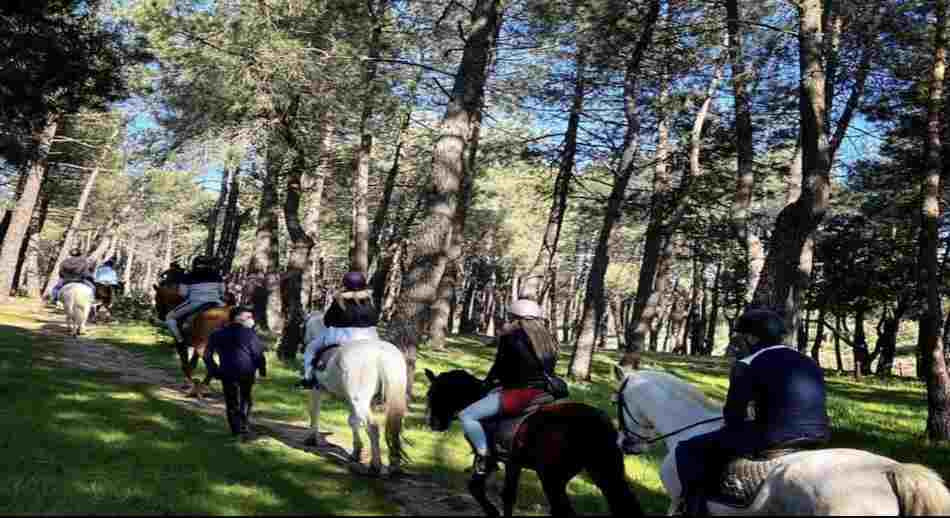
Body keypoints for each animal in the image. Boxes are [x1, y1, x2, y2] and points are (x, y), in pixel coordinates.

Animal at [304, 312, 410, 480]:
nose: (304, 342)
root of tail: (380, 354)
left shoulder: (316, 390)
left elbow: (314, 412)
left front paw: (312, 438)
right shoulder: (350, 401)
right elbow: (353, 421)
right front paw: (356, 453)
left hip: (358, 400)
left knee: (373, 427)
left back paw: (375, 466)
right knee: (393, 430)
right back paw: (394, 465)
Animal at [426, 370, 644, 518]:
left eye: (434, 394)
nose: (434, 424)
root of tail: (596, 421)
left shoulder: (495, 460)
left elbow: (482, 489)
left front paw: (493, 512)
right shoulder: (513, 464)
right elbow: (504, 494)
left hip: (551, 478)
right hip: (601, 472)